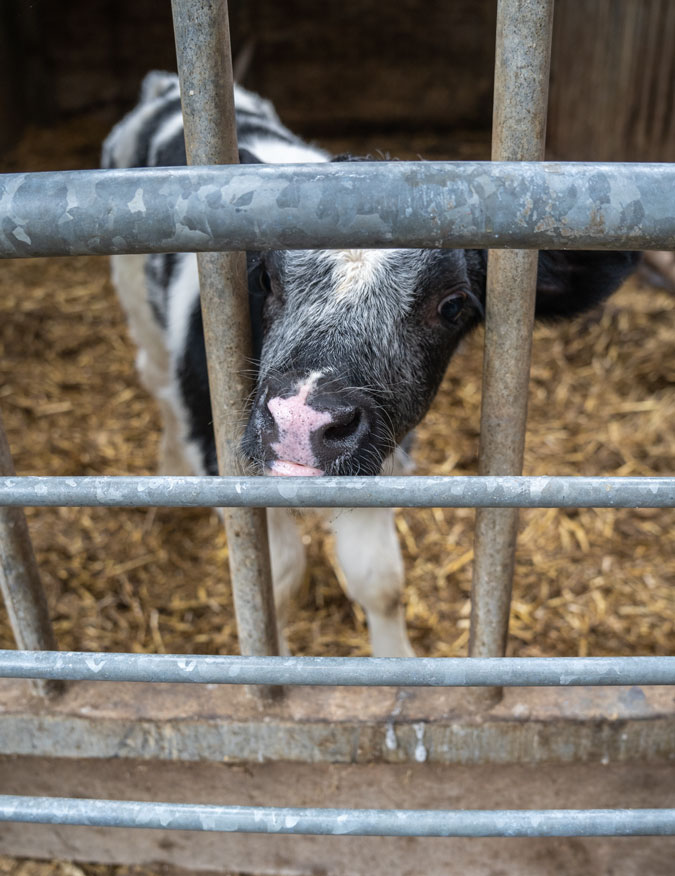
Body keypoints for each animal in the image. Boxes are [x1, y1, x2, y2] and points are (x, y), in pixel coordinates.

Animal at [103, 71, 639, 657]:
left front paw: (395, 659)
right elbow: (276, 579)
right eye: (264, 277)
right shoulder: (221, 451)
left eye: (453, 306)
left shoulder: (381, 455)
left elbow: (378, 579)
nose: (301, 419)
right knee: (155, 379)